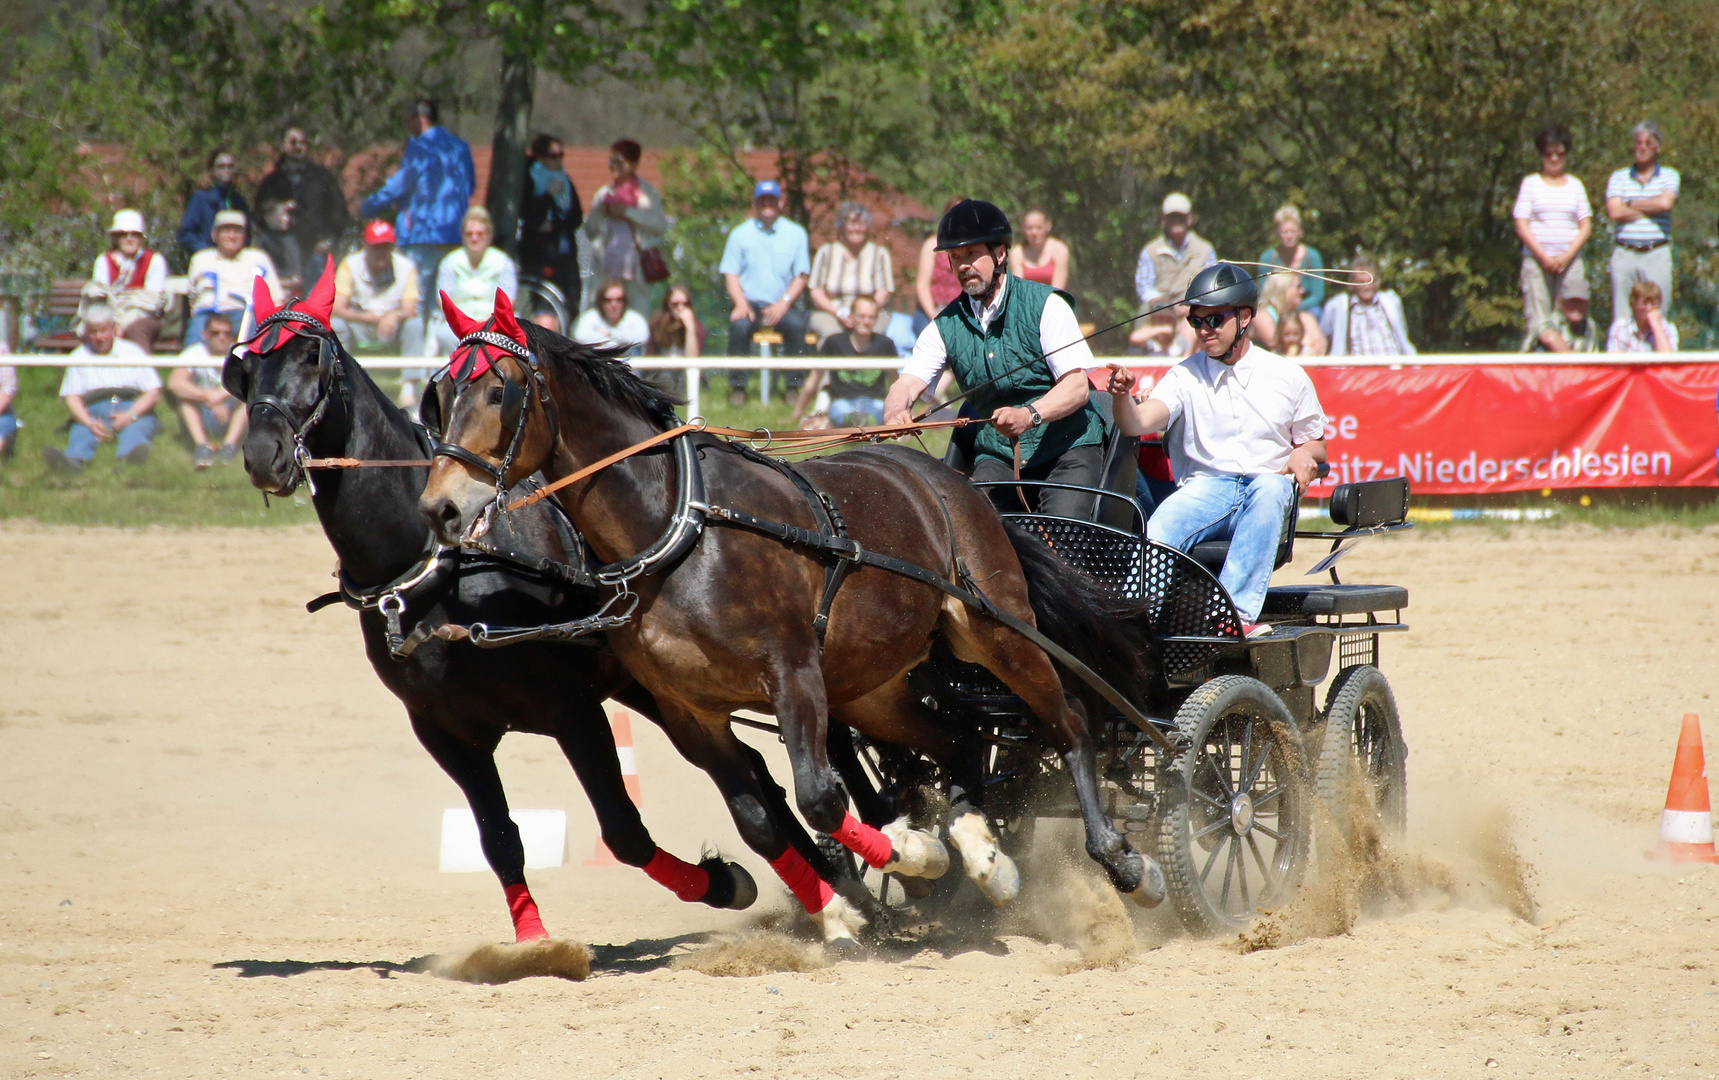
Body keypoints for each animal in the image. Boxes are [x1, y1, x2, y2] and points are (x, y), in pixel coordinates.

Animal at [216, 270, 838, 942]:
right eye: (245, 370)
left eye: (312, 358)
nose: (264, 453)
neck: (447, 570)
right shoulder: (444, 730)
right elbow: (499, 840)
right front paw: (533, 941)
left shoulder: (573, 710)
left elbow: (624, 832)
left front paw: (726, 883)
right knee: (753, 770)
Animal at [415, 290, 1168, 935]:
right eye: (441, 396)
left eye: (498, 391)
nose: (439, 508)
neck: (681, 526)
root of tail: (952, 483)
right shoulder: (690, 711)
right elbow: (759, 818)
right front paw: (846, 906)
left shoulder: (793, 673)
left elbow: (818, 800)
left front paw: (906, 861)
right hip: (872, 687)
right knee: (955, 739)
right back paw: (984, 859)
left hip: (995, 633)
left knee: (1069, 720)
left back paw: (1120, 859)